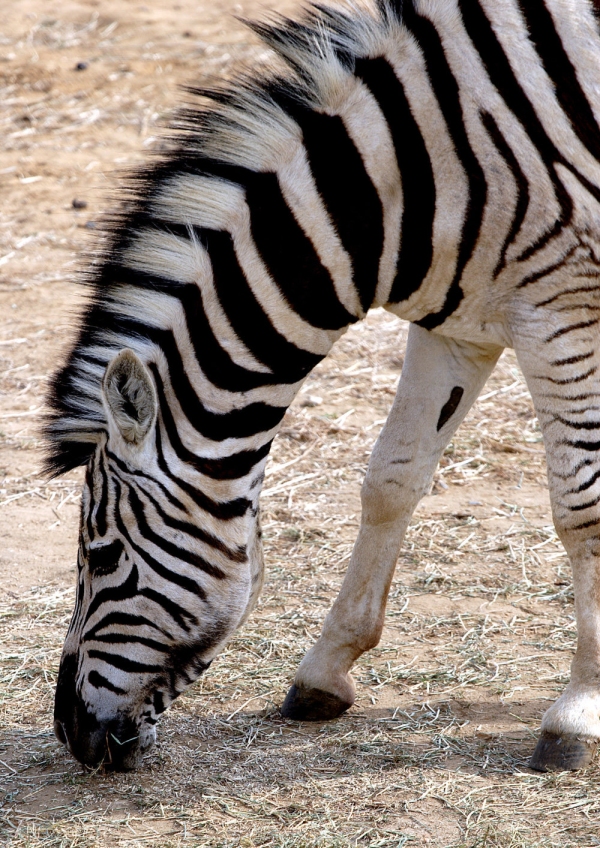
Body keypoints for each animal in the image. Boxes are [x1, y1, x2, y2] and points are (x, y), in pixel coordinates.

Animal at [47, 0, 600, 772]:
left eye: (102, 557)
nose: (70, 731)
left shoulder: (563, 306)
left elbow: (581, 508)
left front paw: (579, 707)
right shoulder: (461, 323)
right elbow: (392, 479)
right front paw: (326, 670)